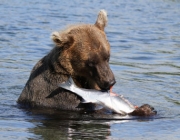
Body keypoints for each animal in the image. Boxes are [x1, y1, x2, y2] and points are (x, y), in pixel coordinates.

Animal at [17, 9, 156, 115]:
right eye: (90, 62)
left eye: (107, 57)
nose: (110, 82)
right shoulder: (57, 92)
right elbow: (88, 109)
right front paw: (145, 108)